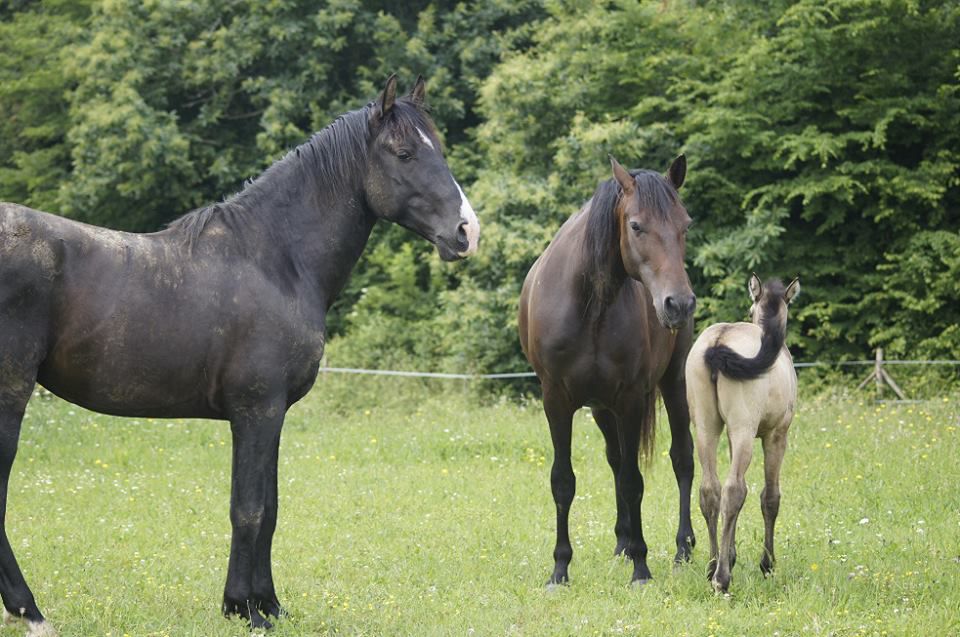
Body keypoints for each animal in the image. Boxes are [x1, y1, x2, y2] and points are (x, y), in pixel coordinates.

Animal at [0, 75, 479, 634]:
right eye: (403, 153)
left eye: (438, 149)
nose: (467, 232)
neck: (275, 259)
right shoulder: (256, 410)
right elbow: (248, 509)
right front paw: (245, 610)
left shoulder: (272, 415)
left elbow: (270, 509)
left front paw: (266, 603)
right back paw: (30, 611)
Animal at [518, 155, 697, 586]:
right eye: (636, 226)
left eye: (685, 225)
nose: (679, 304)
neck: (588, 302)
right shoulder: (556, 401)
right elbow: (563, 482)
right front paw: (560, 569)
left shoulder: (631, 399)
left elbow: (634, 482)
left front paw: (641, 568)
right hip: (602, 409)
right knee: (616, 460)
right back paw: (622, 542)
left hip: (674, 382)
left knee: (682, 458)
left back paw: (682, 547)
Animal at [685, 274, 800, 593]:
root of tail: (718, 340)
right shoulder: (776, 435)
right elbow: (769, 497)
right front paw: (767, 564)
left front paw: (731, 555)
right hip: (744, 430)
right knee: (733, 490)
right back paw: (721, 579)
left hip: (706, 428)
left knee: (711, 491)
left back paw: (713, 566)